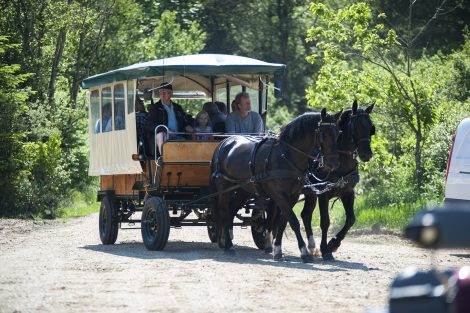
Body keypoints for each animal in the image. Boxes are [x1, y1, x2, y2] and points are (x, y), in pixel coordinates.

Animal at [211, 108, 340, 262]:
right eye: (323, 134)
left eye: (338, 133)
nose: (333, 163)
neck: (286, 155)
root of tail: (224, 142)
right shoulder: (279, 196)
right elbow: (293, 221)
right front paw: (304, 253)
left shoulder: (293, 196)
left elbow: (283, 222)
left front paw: (277, 250)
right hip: (224, 187)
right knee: (224, 212)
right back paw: (228, 246)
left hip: (243, 189)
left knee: (231, 211)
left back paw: (227, 242)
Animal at [302, 100, 374, 258]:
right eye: (357, 126)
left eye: (371, 127)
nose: (367, 154)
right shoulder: (323, 194)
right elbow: (325, 222)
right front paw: (325, 249)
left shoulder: (348, 192)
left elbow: (351, 219)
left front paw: (334, 243)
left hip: (310, 194)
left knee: (305, 215)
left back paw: (311, 247)